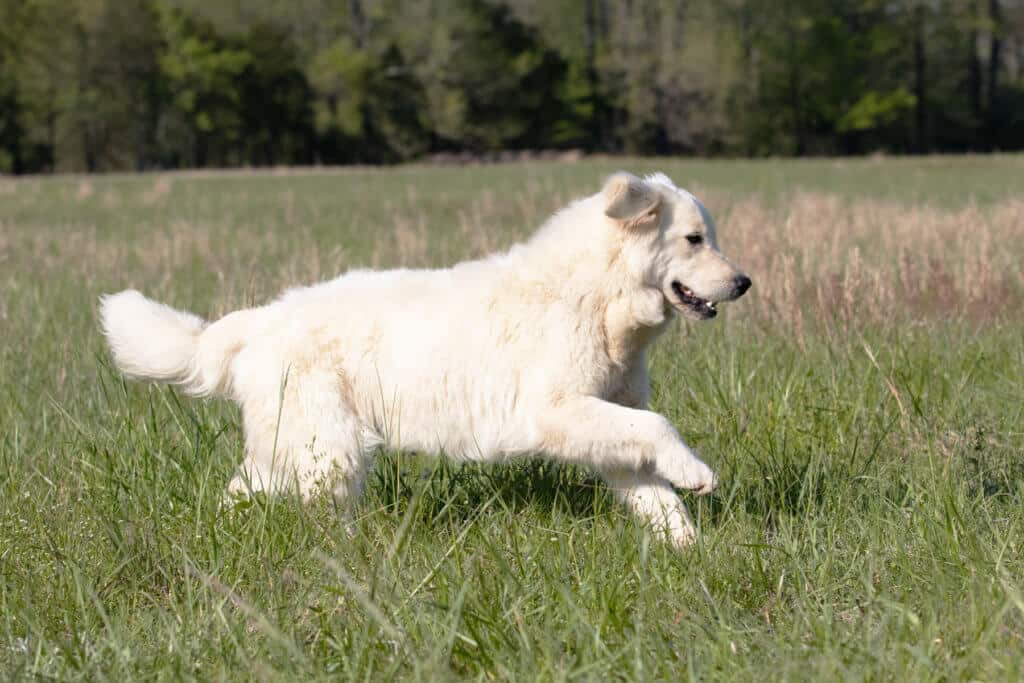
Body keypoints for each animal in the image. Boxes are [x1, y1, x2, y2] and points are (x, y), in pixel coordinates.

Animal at [99, 174, 749, 548]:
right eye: (694, 240)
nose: (743, 283)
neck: (597, 296)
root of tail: (259, 320)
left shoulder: (601, 420)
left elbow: (653, 489)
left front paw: (688, 549)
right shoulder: (557, 410)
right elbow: (659, 428)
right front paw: (696, 471)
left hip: (290, 446)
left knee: (239, 492)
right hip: (331, 450)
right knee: (318, 516)